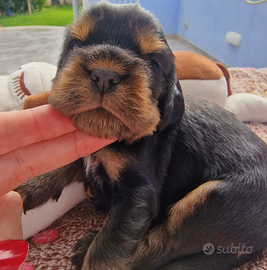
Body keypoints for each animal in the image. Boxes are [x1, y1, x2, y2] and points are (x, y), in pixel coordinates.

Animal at [16, 2, 267, 270]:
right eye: (75, 44)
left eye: (153, 61)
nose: (104, 75)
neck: (110, 136)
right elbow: (68, 157)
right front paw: (29, 187)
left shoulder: (137, 193)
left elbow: (107, 250)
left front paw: (92, 252)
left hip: (212, 200)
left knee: (160, 247)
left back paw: (85, 246)